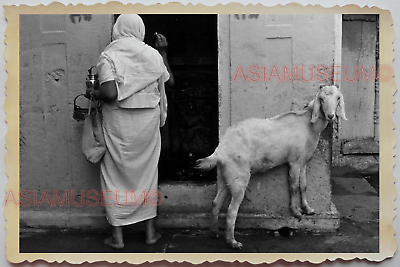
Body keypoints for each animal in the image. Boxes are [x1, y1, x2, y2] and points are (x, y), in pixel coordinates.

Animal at [198, 85, 346, 249]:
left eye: (338, 98)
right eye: (322, 99)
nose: (331, 116)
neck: (307, 124)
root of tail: (220, 151)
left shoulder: (303, 161)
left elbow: (303, 186)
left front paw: (308, 209)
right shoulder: (294, 161)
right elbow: (293, 186)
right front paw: (296, 212)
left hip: (225, 174)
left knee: (216, 202)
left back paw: (214, 232)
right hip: (239, 175)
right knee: (231, 210)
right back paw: (233, 242)